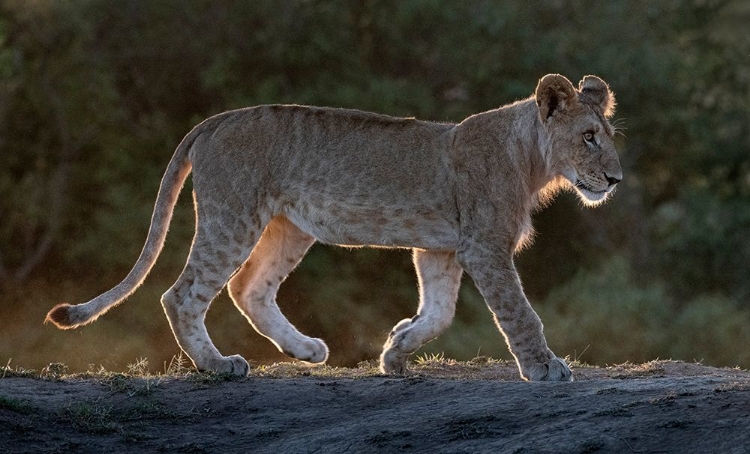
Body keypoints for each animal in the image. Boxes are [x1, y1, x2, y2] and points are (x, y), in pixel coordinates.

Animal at [45, 74, 624, 384]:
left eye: (609, 135)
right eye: (589, 137)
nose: (616, 178)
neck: (532, 160)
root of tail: (215, 120)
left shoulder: (440, 249)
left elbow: (438, 312)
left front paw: (395, 350)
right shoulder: (484, 246)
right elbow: (519, 313)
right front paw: (545, 368)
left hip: (288, 226)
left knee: (248, 288)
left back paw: (307, 351)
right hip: (233, 214)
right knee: (182, 294)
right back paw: (218, 364)